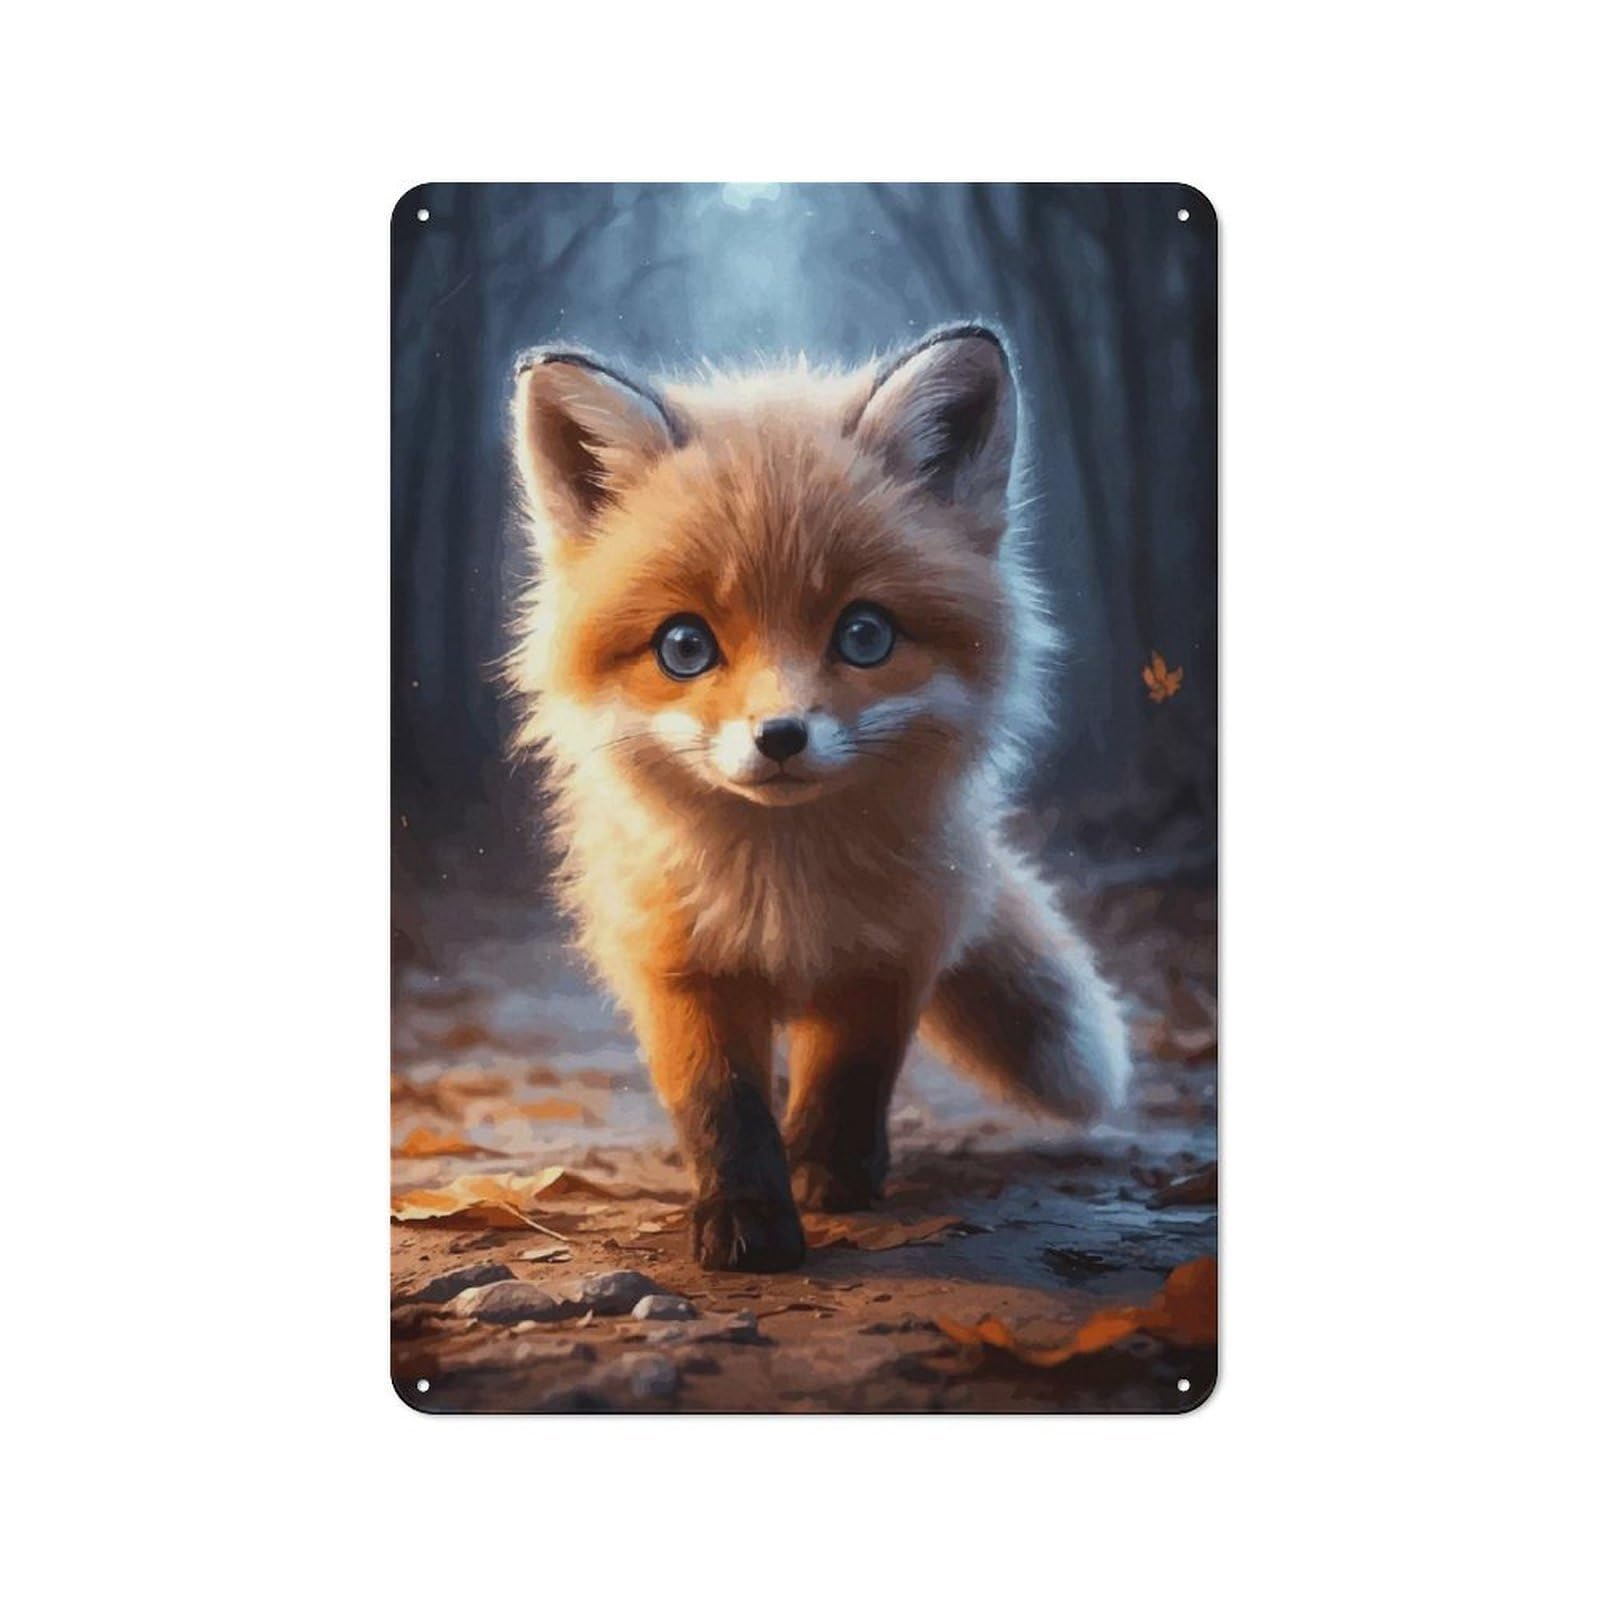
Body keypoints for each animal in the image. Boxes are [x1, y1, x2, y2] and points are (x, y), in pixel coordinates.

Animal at [506, 323, 1131, 1271]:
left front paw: (829, 1175)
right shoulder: (678, 960)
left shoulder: (894, 947)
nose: (781, 737)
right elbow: (721, 1103)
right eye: (684, 646)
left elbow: (850, 1075)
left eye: (864, 635)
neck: (785, 893)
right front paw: (745, 1214)